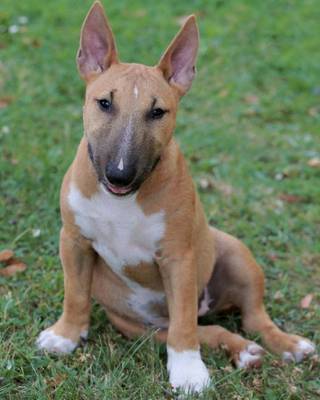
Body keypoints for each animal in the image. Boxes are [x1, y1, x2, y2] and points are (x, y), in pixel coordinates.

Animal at [36, 0, 316, 394]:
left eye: (157, 112)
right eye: (104, 103)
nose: (119, 174)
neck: (123, 200)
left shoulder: (178, 257)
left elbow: (184, 325)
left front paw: (187, 373)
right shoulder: (73, 240)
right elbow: (75, 292)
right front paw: (66, 336)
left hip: (234, 253)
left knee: (246, 318)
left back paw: (288, 345)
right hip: (139, 327)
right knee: (208, 329)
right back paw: (244, 350)